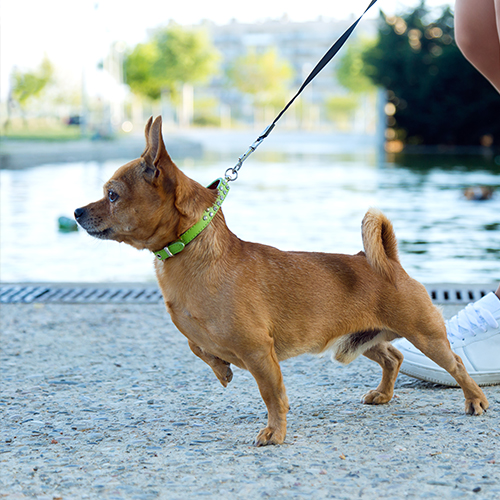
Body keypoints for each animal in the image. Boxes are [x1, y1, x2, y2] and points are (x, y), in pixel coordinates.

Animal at [74, 117, 488, 446]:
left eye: (112, 195)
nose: (76, 211)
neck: (188, 252)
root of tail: (388, 261)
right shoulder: (201, 335)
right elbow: (199, 347)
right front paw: (222, 369)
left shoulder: (259, 352)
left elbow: (273, 395)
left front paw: (275, 432)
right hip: (360, 339)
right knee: (394, 356)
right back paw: (384, 394)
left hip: (425, 335)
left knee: (454, 364)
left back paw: (475, 400)